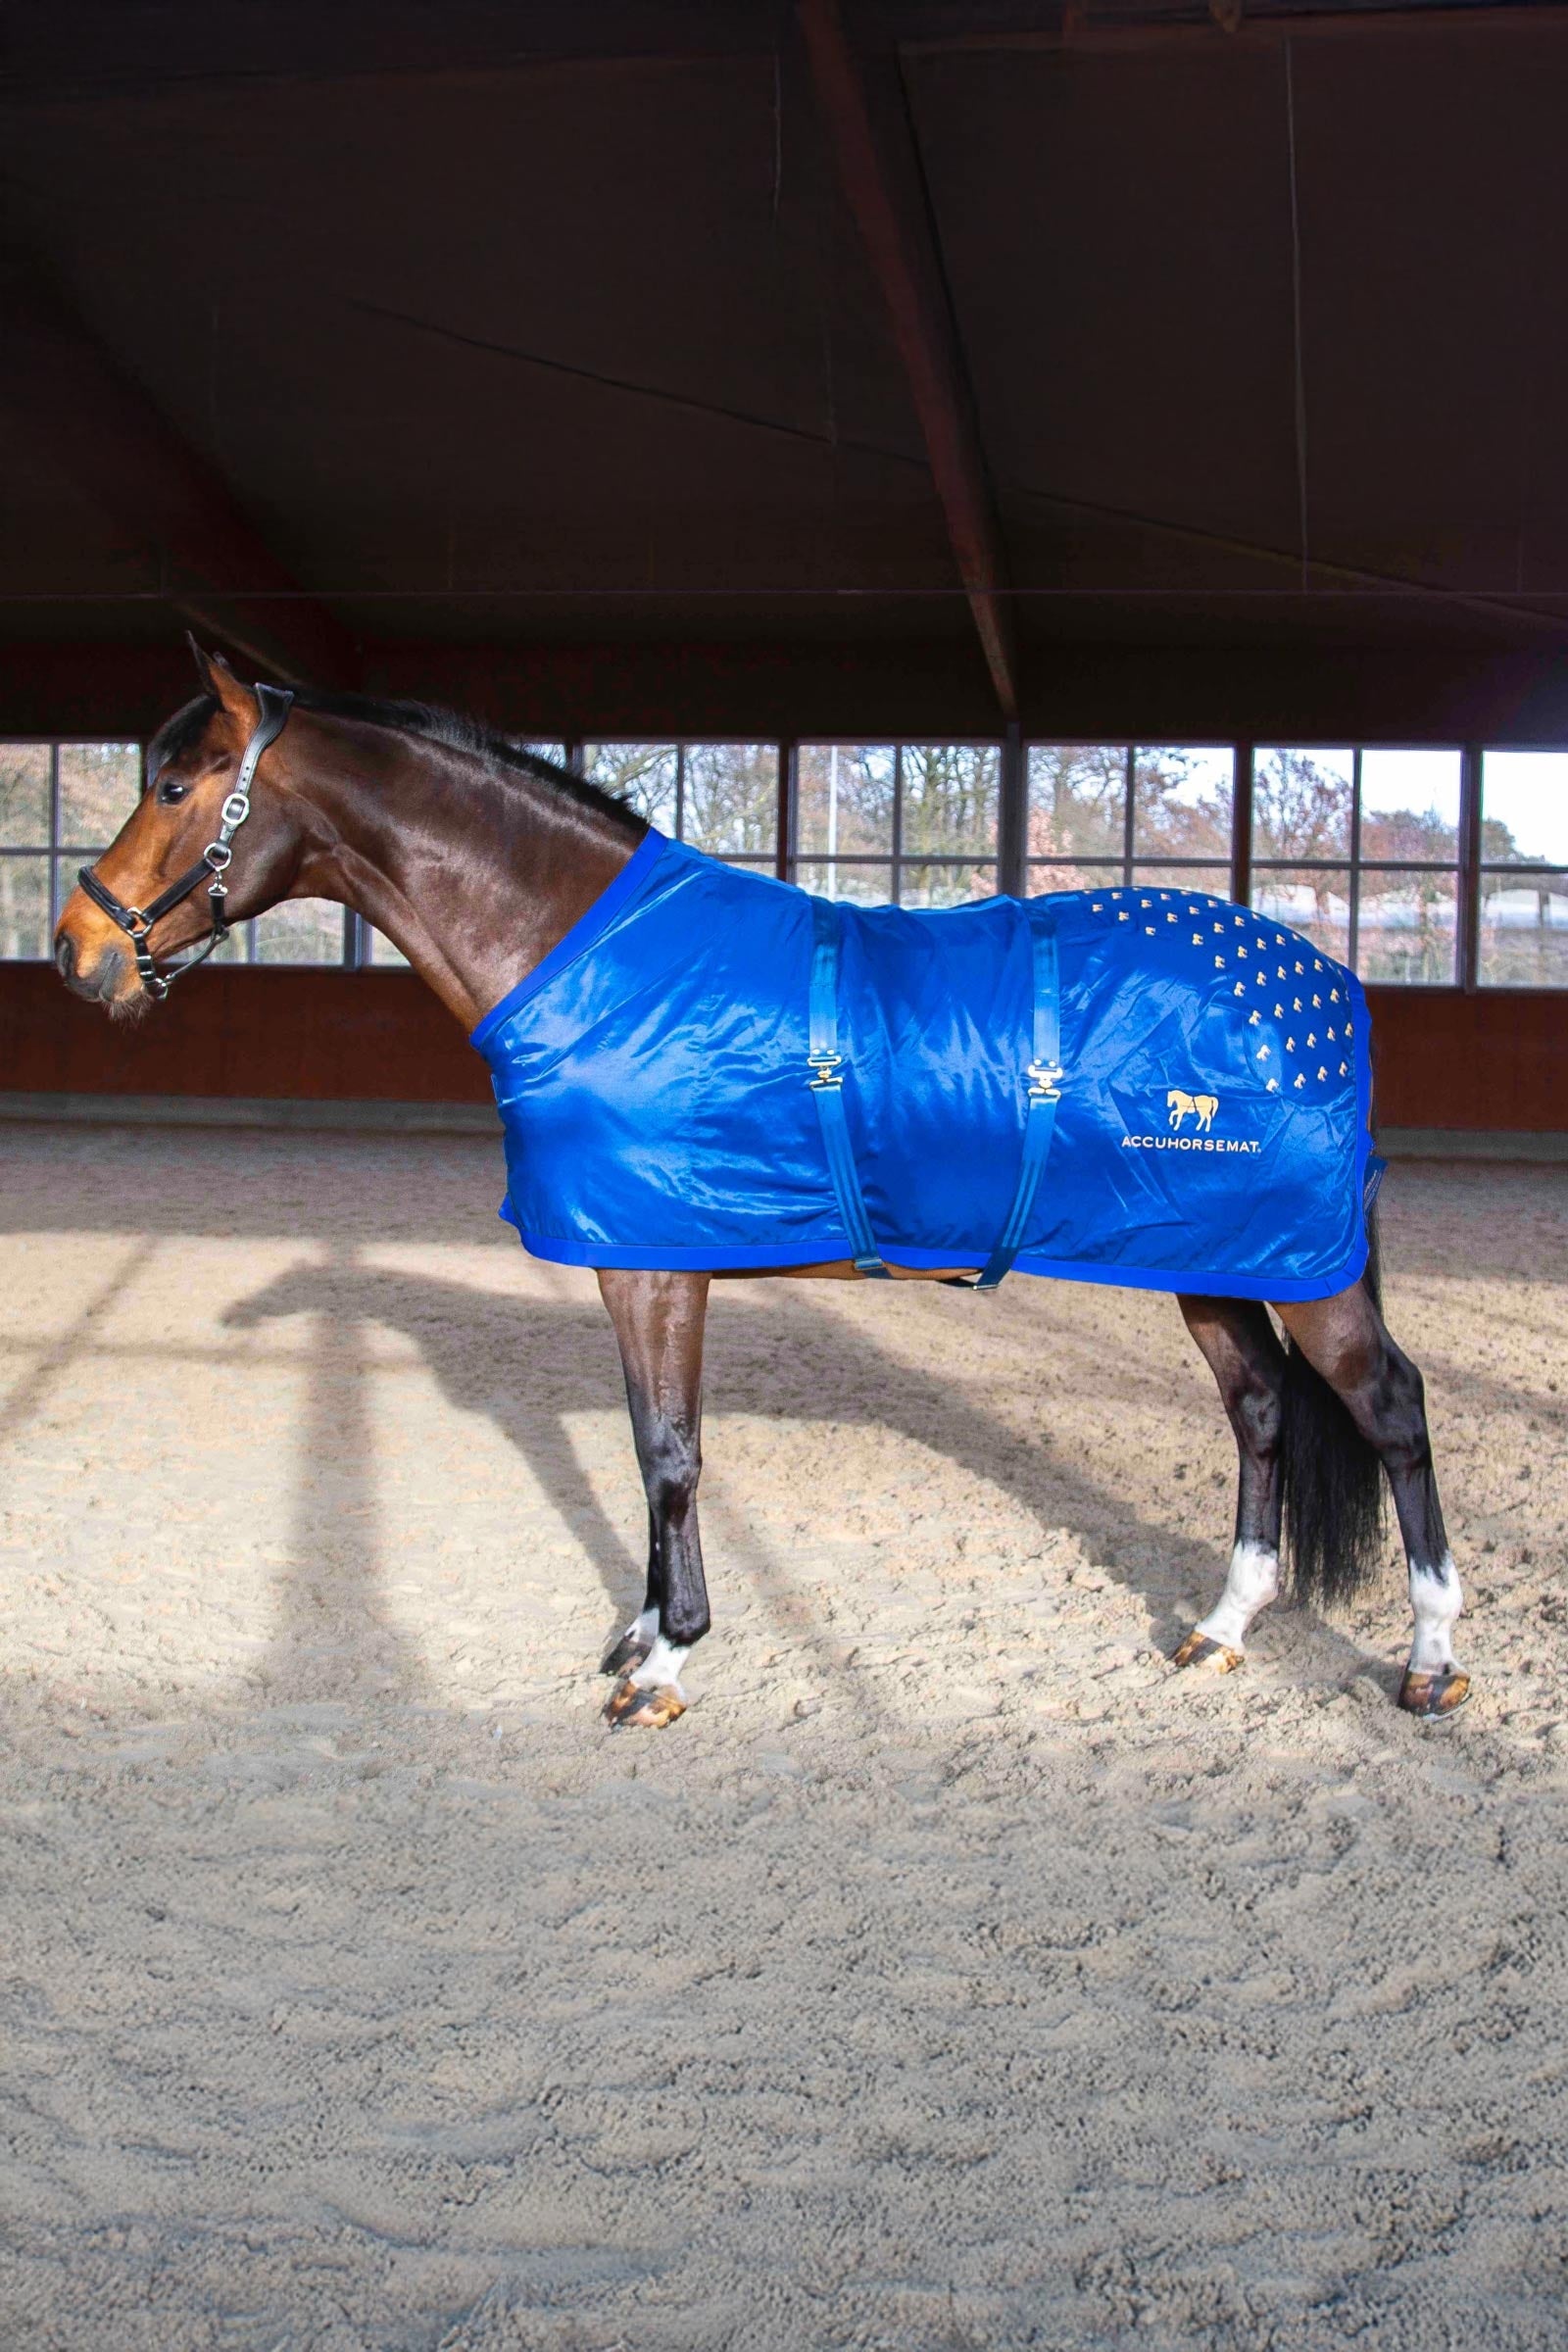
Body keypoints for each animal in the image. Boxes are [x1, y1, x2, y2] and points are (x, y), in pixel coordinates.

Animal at [52, 644, 1469, 1730]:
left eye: (173, 783)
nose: (75, 955)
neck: (594, 955)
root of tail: (1327, 983)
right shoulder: (639, 1264)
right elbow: (646, 1447)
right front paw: (637, 1635)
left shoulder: (655, 1266)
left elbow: (670, 1454)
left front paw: (668, 1659)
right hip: (1206, 1261)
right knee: (1261, 1414)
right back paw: (1222, 1628)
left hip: (1303, 1273)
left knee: (1390, 1408)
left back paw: (1432, 1660)